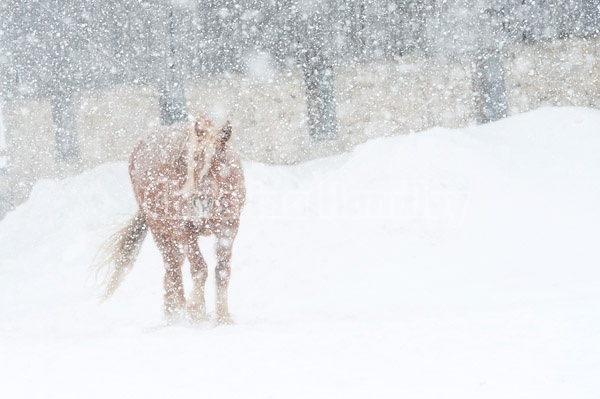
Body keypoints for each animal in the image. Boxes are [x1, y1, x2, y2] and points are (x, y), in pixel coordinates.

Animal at [98, 115, 246, 324]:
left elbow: (223, 272)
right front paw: (197, 310)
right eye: (194, 159)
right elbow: (200, 268)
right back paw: (178, 313)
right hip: (160, 230)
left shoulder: (228, 229)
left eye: (221, 159)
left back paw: (171, 310)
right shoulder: (187, 230)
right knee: (173, 266)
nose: (201, 201)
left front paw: (223, 318)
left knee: (175, 265)